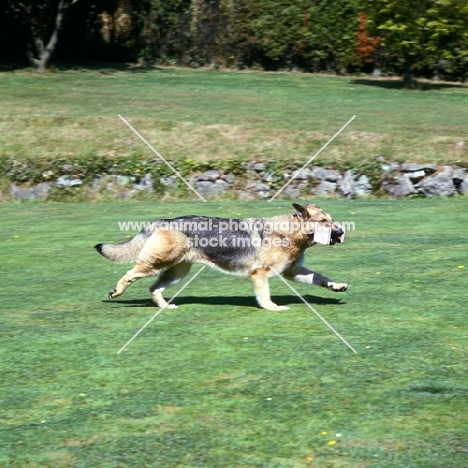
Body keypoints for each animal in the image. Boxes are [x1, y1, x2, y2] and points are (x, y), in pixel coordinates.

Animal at [95, 204, 348, 310]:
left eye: (331, 220)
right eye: (324, 222)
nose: (342, 232)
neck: (291, 234)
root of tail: (161, 221)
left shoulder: (293, 272)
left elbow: (321, 278)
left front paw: (337, 286)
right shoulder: (260, 275)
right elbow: (265, 296)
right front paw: (272, 308)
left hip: (176, 272)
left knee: (154, 289)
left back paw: (165, 307)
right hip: (155, 265)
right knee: (129, 274)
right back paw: (117, 291)